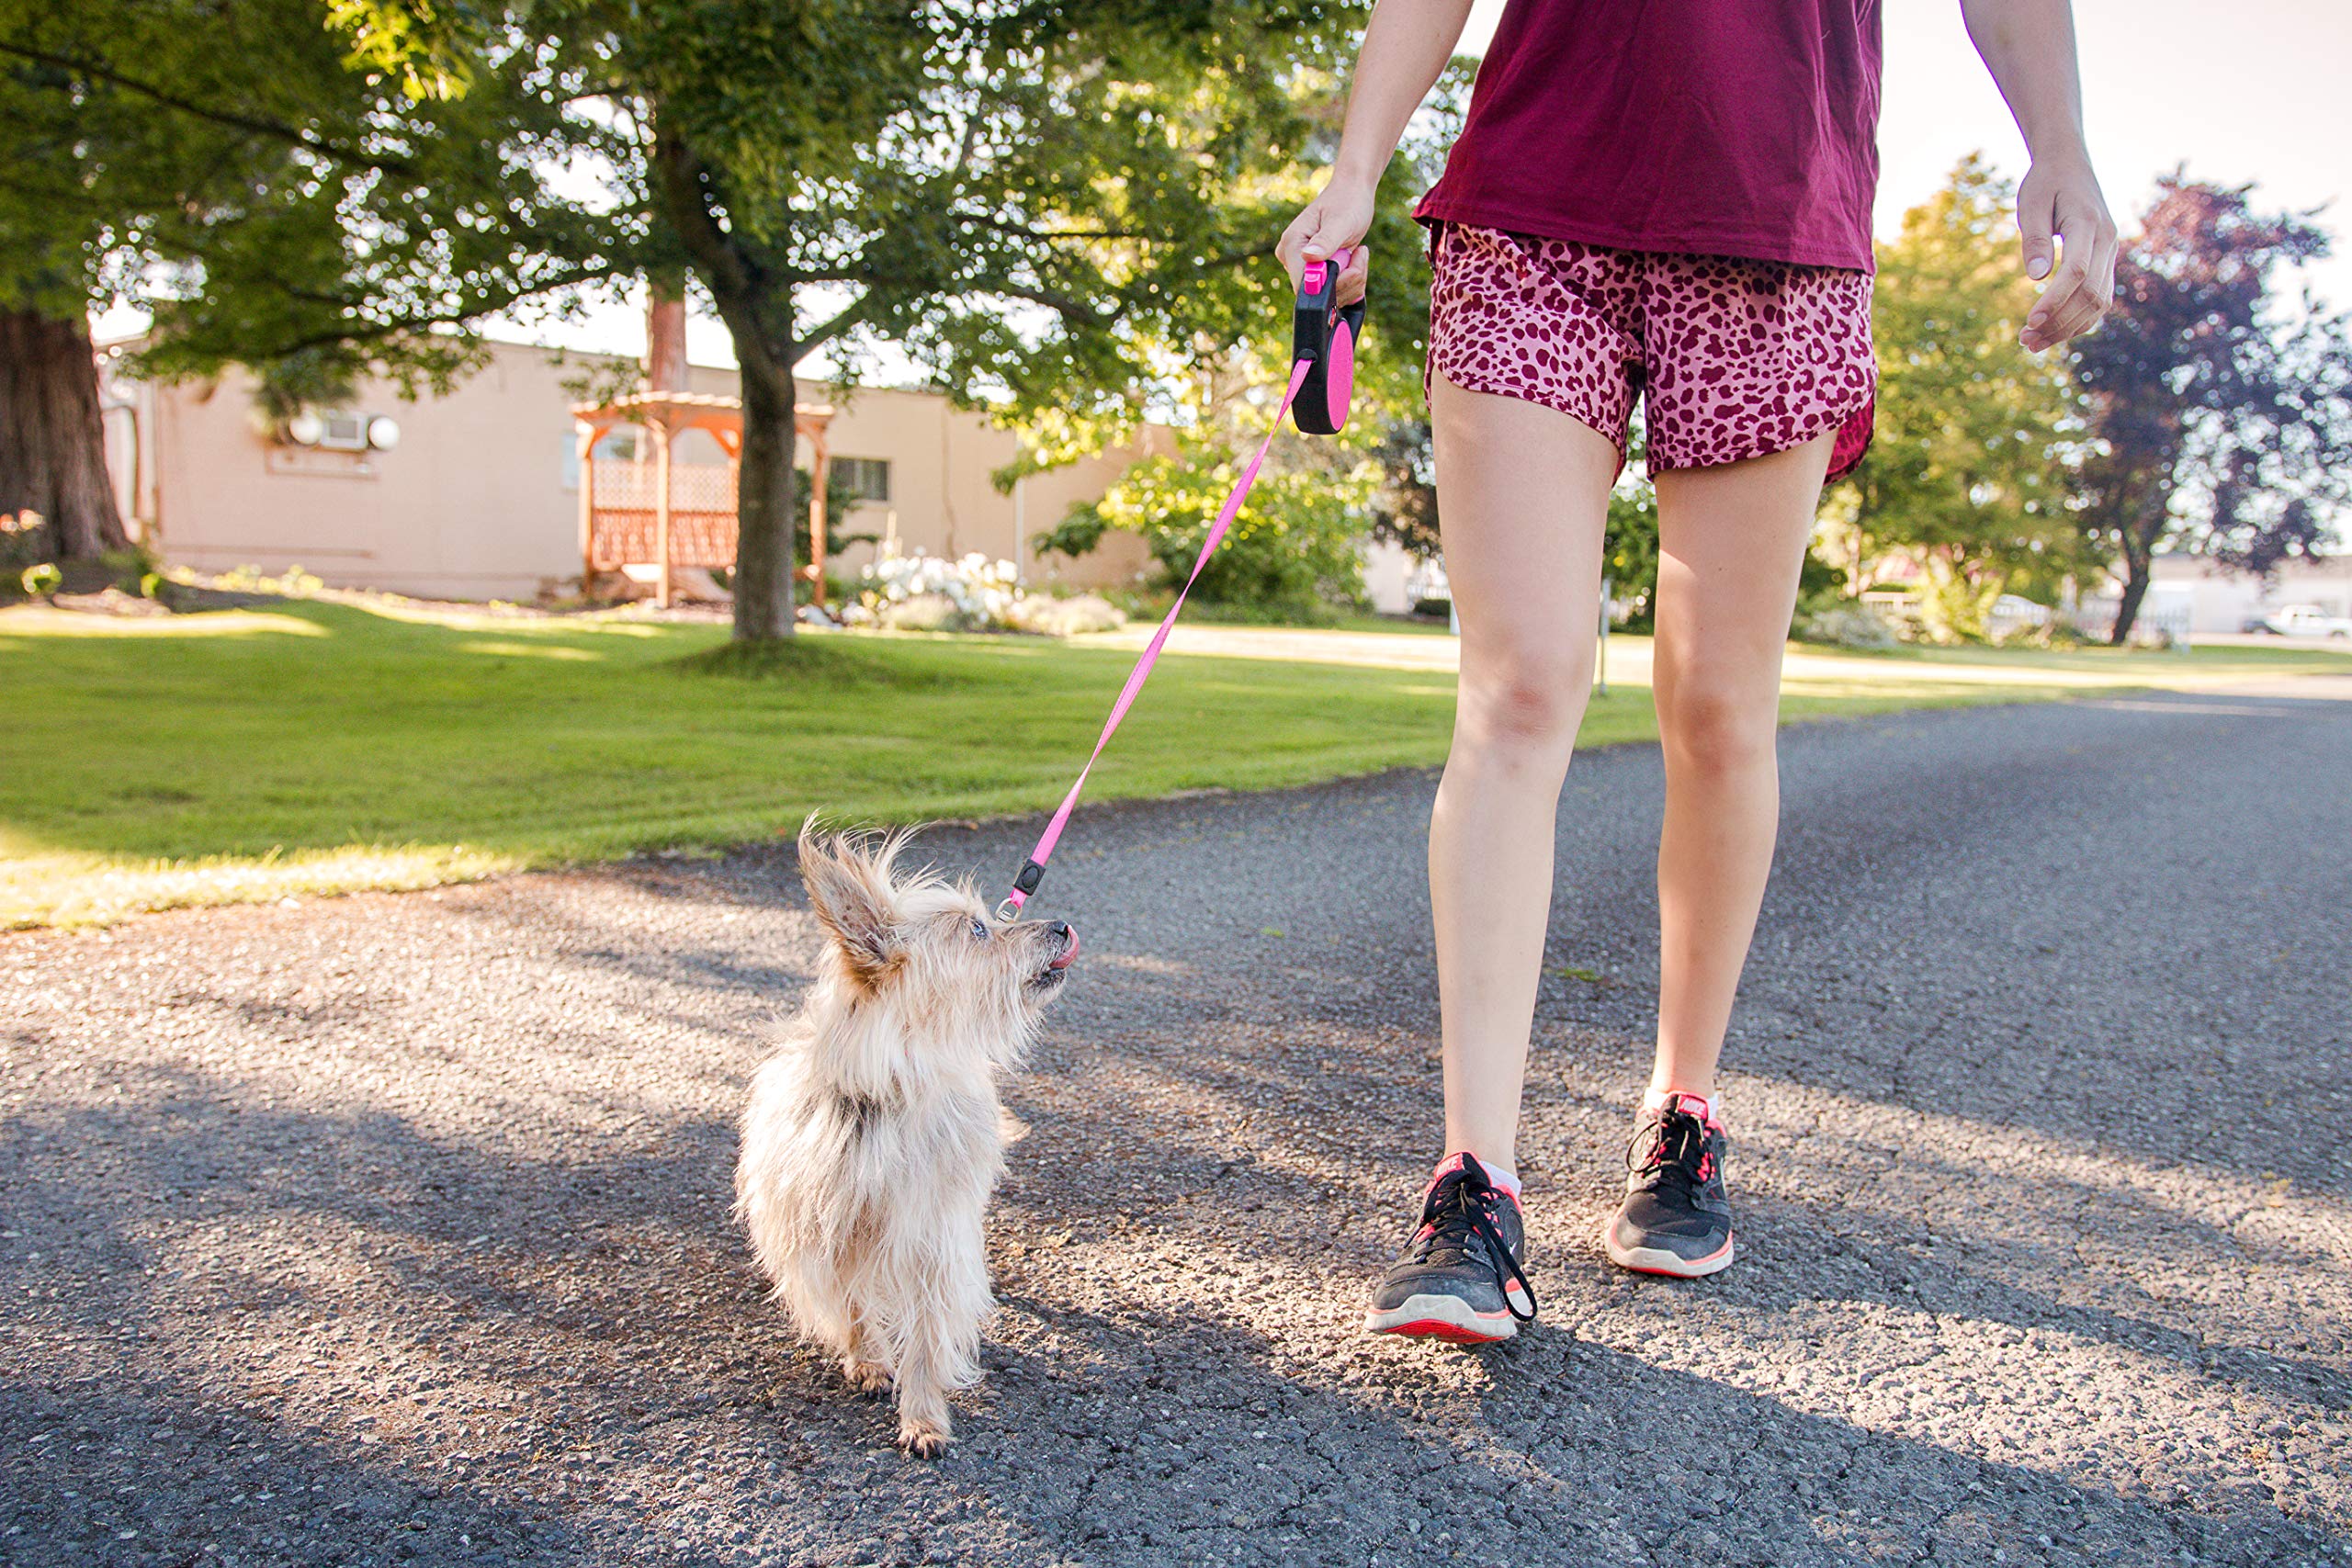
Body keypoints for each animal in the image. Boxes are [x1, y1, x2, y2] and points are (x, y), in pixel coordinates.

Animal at [738, 827, 1077, 1457]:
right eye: (977, 930)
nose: (1063, 926)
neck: (894, 1091)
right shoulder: (828, 1228)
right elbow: (849, 1301)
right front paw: (867, 1358)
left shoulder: (931, 1238)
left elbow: (926, 1333)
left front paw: (923, 1416)